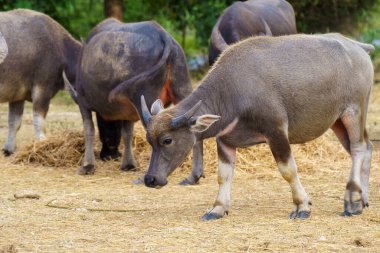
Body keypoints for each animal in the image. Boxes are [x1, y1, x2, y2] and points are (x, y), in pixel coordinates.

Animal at [0, 8, 81, 154]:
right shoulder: (42, 89)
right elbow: (39, 121)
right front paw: (43, 144)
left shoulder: (17, 96)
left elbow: (14, 122)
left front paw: (9, 149)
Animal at [64, 18, 205, 184]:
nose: (109, 154)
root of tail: (164, 36)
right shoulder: (128, 112)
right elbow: (127, 133)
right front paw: (129, 164)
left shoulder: (83, 102)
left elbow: (89, 130)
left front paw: (87, 166)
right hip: (182, 89)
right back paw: (195, 175)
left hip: (145, 99)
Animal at [142, 32, 374, 220]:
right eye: (149, 141)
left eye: (167, 140)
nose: (150, 179)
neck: (231, 92)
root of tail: (358, 47)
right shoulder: (225, 140)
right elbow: (223, 175)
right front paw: (217, 208)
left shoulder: (276, 131)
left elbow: (288, 170)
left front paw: (302, 205)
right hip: (337, 121)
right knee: (367, 147)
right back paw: (363, 198)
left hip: (354, 111)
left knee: (358, 148)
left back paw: (352, 201)